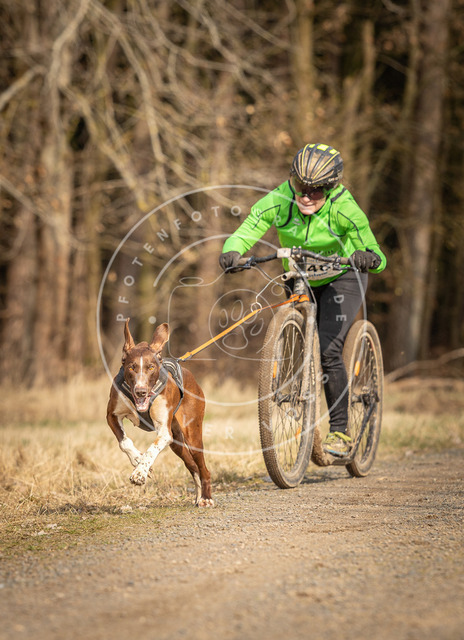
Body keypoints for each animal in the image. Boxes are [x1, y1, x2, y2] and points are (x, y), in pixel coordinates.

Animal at [106, 319, 213, 507]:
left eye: (150, 367)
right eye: (132, 367)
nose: (141, 391)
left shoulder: (164, 432)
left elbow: (152, 449)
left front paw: (140, 472)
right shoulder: (112, 415)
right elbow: (124, 442)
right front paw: (138, 460)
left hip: (191, 434)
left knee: (203, 468)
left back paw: (206, 498)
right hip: (176, 442)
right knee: (192, 466)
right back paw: (199, 496)